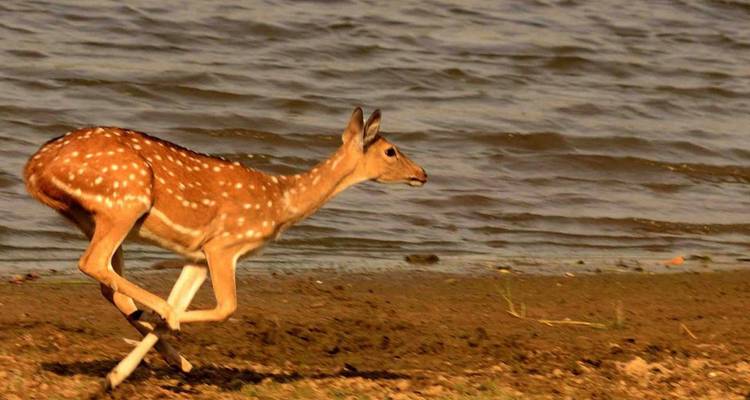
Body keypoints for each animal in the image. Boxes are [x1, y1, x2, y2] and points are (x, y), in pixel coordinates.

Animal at [22, 107, 427, 386]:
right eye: (391, 151)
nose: (422, 173)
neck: (280, 205)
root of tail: (32, 168)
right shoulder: (224, 245)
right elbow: (226, 308)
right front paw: (167, 325)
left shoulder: (198, 255)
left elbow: (189, 300)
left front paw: (117, 376)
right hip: (125, 200)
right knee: (93, 263)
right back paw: (163, 319)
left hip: (95, 216)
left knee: (108, 283)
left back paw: (172, 355)